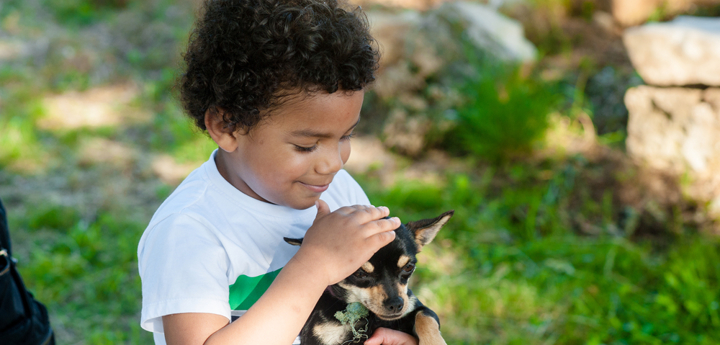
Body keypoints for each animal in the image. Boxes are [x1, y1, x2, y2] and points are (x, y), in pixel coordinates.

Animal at [284, 210, 452, 344]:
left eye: (408, 267)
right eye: (359, 273)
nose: (396, 304)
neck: (369, 316)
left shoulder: (414, 307)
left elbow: (425, 317)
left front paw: (434, 342)